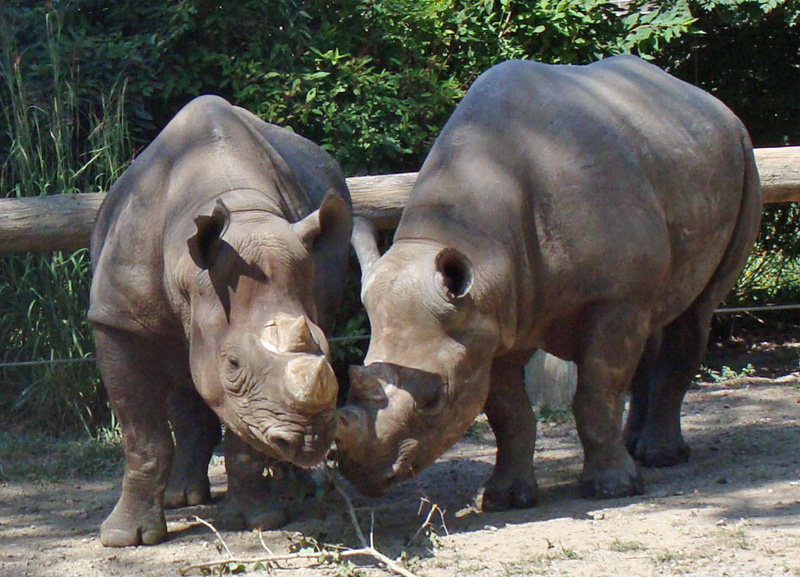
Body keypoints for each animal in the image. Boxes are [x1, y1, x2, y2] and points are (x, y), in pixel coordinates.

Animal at [89, 95, 352, 546]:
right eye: (232, 363)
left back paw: (292, 490)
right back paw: (183, 498)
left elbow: (245, 432)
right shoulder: (116, 321)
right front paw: (126, 538)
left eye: (326, 349)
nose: (309, 441)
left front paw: (257, 520)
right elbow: (143, 436)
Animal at [336, 55, 761, 509]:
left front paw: (613, 490)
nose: (362, 475)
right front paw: (506, 498)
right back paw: (636, 448)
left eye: (434, 399)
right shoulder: (490, 320)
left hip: (742, 157)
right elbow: (508, 413)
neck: (477, 249)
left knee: (697, 311)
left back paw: (660, 457)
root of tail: (717, 107)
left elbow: (597, 392)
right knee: (655, 318)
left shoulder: (613, 299)